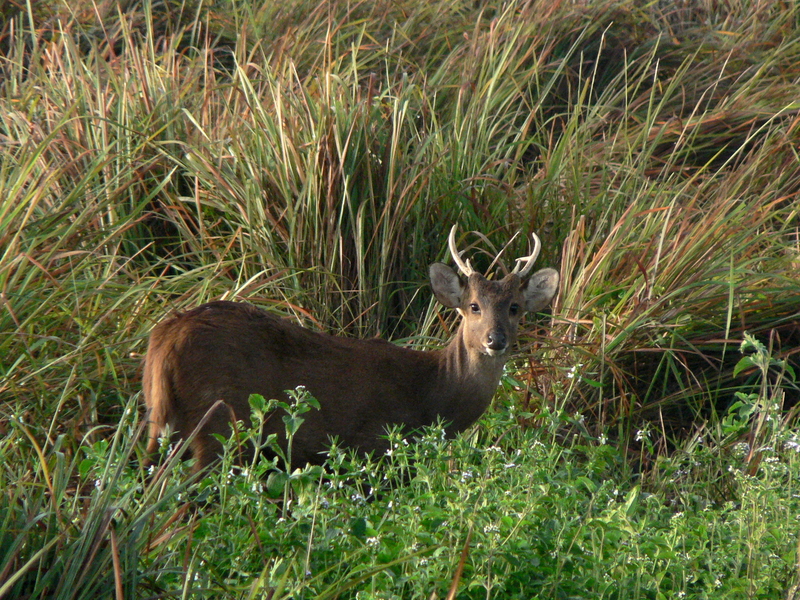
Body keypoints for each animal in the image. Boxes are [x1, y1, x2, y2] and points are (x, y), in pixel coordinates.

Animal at [142, 225, 556, 468]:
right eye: (473, 306)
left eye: (514, 307)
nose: (495, 340)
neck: (431, 394)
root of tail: (166, 340)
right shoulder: (377, 444)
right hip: (221, 425)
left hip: (162, 422)